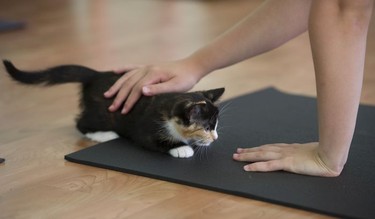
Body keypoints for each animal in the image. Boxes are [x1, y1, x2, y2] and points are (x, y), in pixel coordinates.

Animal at [3, 60, 226, 158]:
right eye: (207, 128)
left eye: (215, 127)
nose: (216, 138)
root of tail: (95, 75)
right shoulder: (145, 130)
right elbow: (156, 141)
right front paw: (181, 148)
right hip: (101, 113)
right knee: (81, 122)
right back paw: (104, 135)